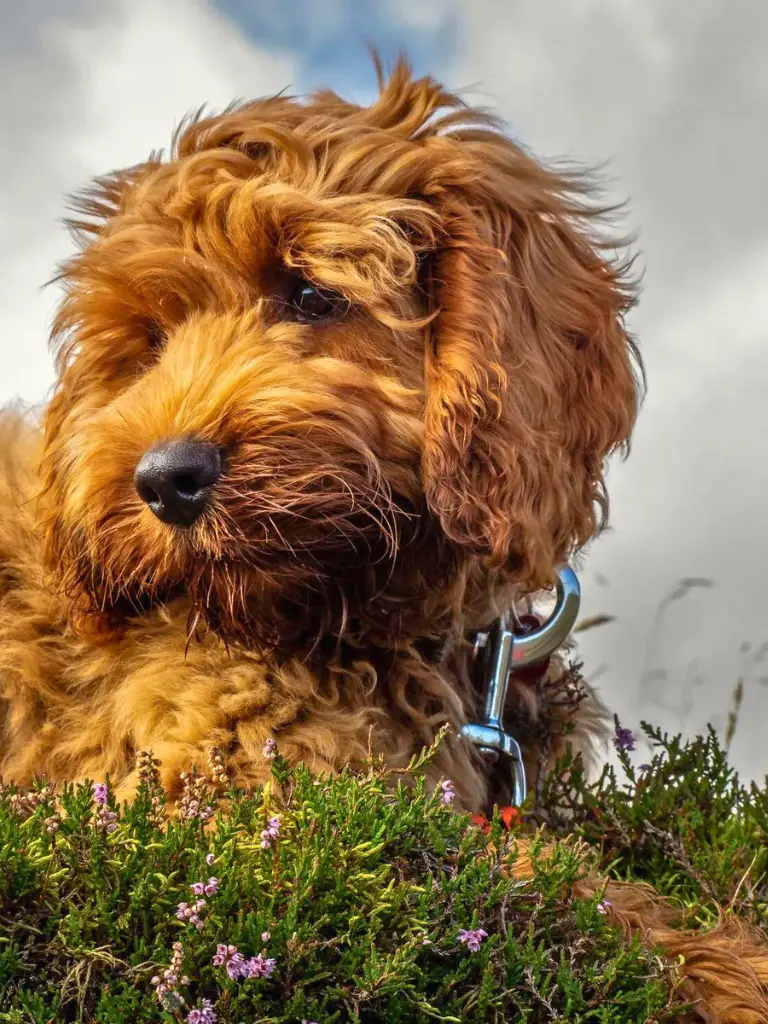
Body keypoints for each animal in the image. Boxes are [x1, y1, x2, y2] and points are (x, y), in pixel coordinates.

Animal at [0, 59, 765, 1019]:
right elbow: (514, 867)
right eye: (151, 342)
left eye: (310, 293)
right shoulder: (212, 786)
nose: (165, 481)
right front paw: (725, 967)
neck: (362, 619)